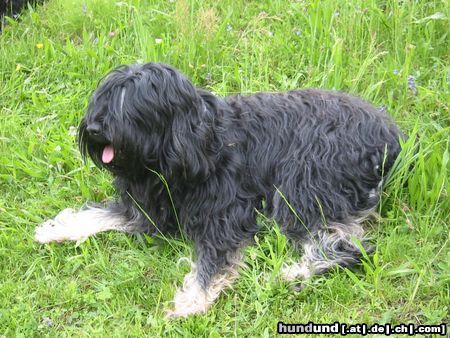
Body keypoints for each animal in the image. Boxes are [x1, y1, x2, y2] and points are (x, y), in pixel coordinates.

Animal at [34, 62, 400, 318]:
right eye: (106, 97)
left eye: (131, 106)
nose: (94, 128)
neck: (193, 145)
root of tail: (391, 136)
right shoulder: (148, 209)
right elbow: (100, 214)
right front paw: (55, 228)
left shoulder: (226, 215)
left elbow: (212, 261)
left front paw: (191, 300)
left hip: (302, 183)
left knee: (349, 246)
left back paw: (290, 273)